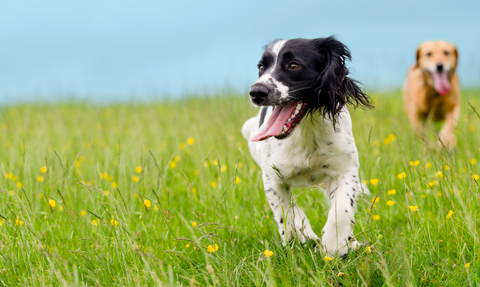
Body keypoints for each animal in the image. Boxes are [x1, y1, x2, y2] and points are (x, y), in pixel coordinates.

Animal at [242, 36, 374, 256]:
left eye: (294, 65)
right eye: (261, 67)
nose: (256, 92)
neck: (305, 131)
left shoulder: (346, 168)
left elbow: (342, 209)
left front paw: (335, 244)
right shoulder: (272, 179)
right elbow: (287, 213)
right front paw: (302, 237)